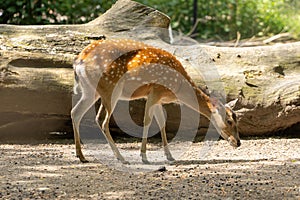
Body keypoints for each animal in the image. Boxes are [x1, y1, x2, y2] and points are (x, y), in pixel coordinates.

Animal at [71, 37, 241, 164]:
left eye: (236, 120)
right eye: (229, 121)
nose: (238, 142)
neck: (178, 87)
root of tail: (79, 61)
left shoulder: (158, 99)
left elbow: (162, 122)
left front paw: (169, 156)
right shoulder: (155, 91)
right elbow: (147, 121)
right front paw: (144, 156)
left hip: (91, 91)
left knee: (77, 112)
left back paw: (81, 156)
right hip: (110, 88)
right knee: (102, 121)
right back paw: (121, 158)